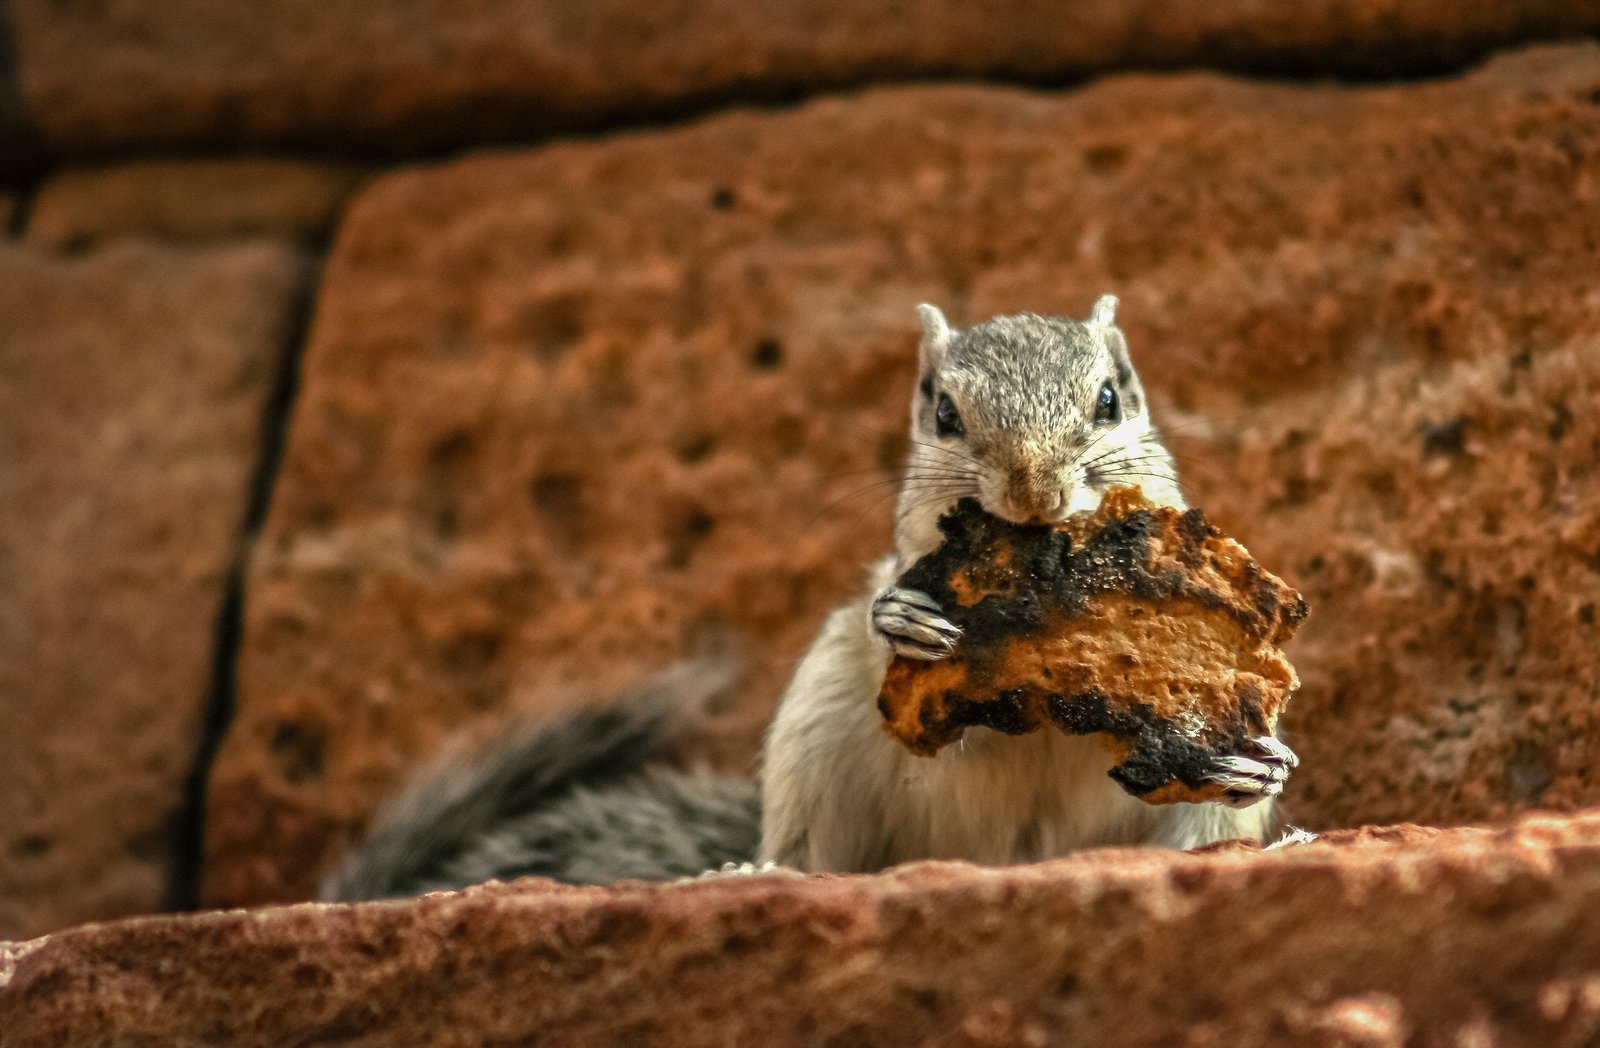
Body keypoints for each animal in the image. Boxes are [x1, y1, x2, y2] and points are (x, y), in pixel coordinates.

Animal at [321, 297, 1286, 902]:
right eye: (944, 414)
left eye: (1110, 399)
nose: (1034, 494)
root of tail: (1012, 860)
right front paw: (900, 619)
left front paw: (1252, 749)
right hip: (817, 732)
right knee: (808, 855)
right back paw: (750, 876)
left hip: (1189, 821)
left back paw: (1255, 791)